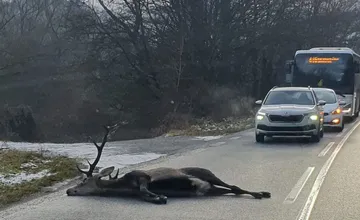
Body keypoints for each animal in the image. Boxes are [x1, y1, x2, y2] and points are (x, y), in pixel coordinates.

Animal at [66, 124, 272, 204]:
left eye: (83, 181)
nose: (68, 190)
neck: (123, 186)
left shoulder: (141, 175)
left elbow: (144, 188)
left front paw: (159, 196)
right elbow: (144, 195)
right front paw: (159, 197)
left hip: (207, 173)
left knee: (234, 186)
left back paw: (262, 193)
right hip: (211, 189)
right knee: (232, 190)